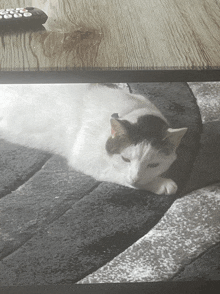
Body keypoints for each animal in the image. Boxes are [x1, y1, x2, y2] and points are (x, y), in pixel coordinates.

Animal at [0, 83, 187, 195]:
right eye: (125, 159)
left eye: (153, 165)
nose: (135, 178)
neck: (130, 109)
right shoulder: (86, 159)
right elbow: (115, 173)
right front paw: (161, 184)